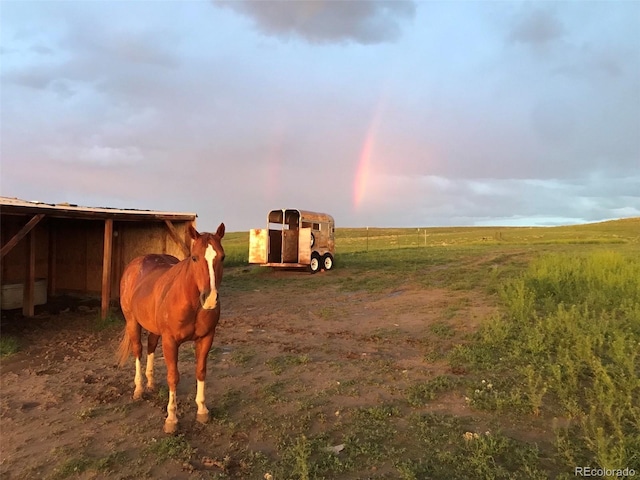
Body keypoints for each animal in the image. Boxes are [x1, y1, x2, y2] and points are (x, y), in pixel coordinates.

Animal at [117, 223, 225, 434]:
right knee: (138, 350)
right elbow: (173, 377)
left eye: (222, 257)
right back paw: (139, 389)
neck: (191, 302)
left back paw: (151, 383)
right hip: (132, 322)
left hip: (153, 328)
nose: (209, 299)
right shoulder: (170, 341)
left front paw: (202, 410)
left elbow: (201, 371)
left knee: (150, 346)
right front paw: (172, 419)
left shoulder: (206, 338)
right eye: (194, 257)